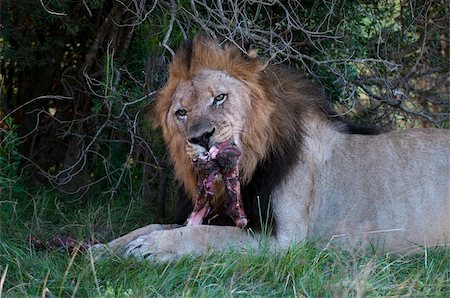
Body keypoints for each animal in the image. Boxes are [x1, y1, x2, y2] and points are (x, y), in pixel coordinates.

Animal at [97, 33, 450, 260]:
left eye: (220, 98)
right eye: (181, 113)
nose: (201, 137)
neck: (248, 167)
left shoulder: (285, 240)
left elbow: (207, 235)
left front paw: (153, 247)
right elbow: (155, 224)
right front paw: (104, 248)